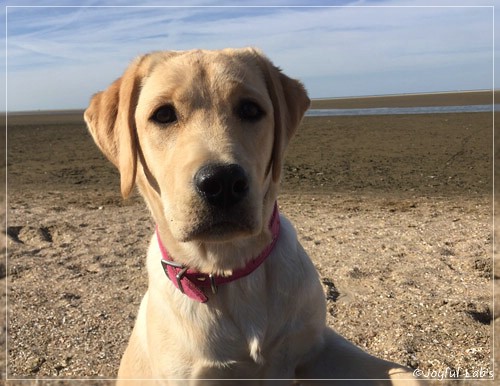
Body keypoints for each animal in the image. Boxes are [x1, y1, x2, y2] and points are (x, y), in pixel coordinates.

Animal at [84, 46, 420, 384]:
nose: (222, 183)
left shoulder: (316, 347)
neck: (229, 270)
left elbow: (404, 372)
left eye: (249, 109)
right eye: (163, 115)